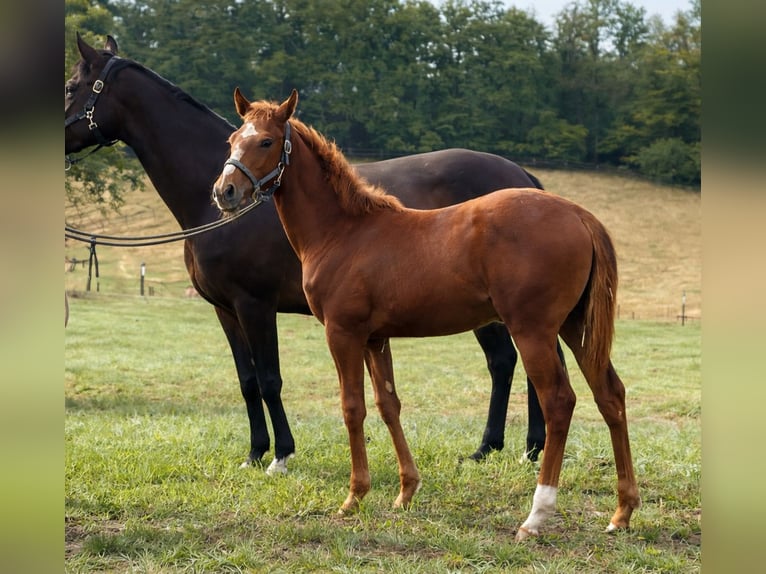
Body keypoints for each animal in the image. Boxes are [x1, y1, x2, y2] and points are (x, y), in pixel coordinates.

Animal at [65, 33, 564, 471]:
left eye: (70, 87)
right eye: (232, 143)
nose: (226, 192)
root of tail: (523, 178)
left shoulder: (255, 304)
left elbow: (270, 379)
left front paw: (282, 454)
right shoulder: (226, 310)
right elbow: (247, 382)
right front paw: (254, 453)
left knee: (517, 361)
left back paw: (518, 448)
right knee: (510, 361)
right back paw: (505, 448)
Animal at [211, 89, 640, 540]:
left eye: (266, 142)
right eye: (232, 140)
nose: (225, 191)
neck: (344, 231)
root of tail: (579, 214)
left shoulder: (343, 333)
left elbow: (352, 407)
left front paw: (354, 497)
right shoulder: (375, 338)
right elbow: (388, 404)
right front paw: (406, 491)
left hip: (533, 331)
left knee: (559, 400)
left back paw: (536, 515)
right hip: (577, 328)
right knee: (610, 395)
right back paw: (622, 512)